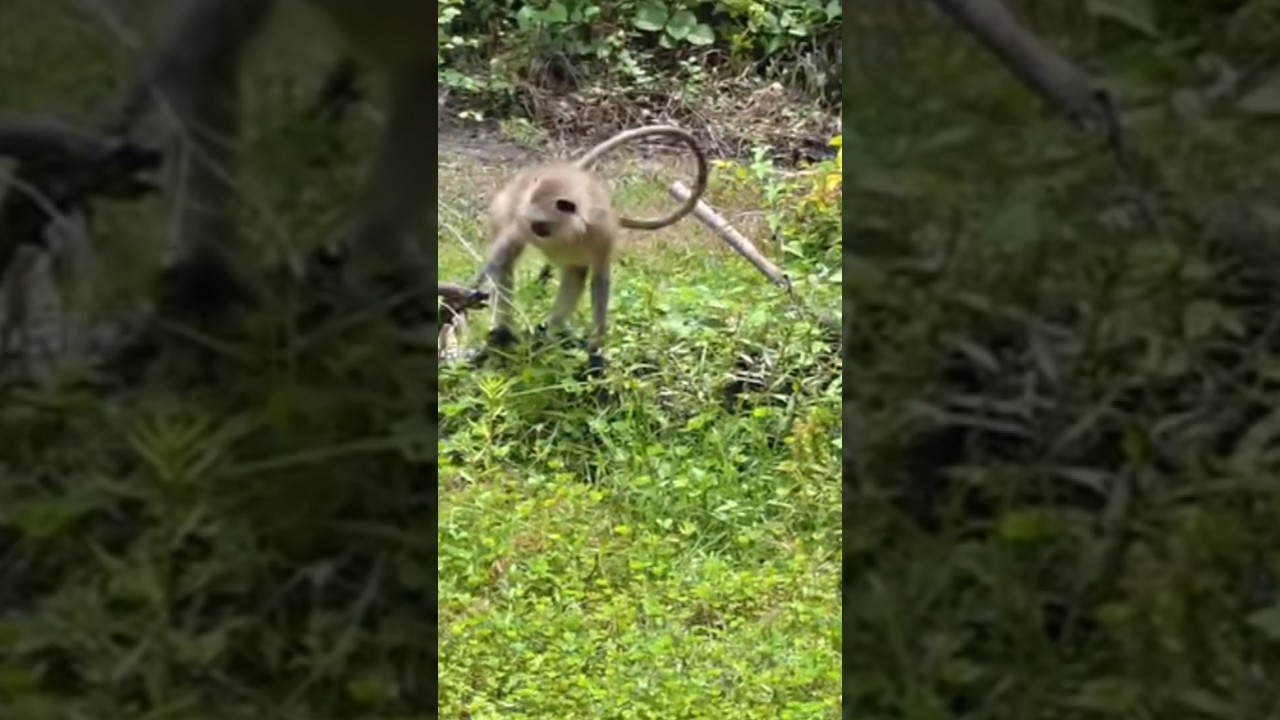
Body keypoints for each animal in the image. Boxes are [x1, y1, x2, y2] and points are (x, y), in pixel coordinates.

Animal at [473, 125, 709, 372]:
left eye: (542, 225)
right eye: (535, 225)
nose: (536, 232)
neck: (568, 232)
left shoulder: (601, 231)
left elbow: (599, 280)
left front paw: (596, 349)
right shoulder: (521, 219)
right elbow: (500, 258)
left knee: (576, 272)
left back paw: (550, 332)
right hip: (503, 209)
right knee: (507, 262)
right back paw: (503, 334)